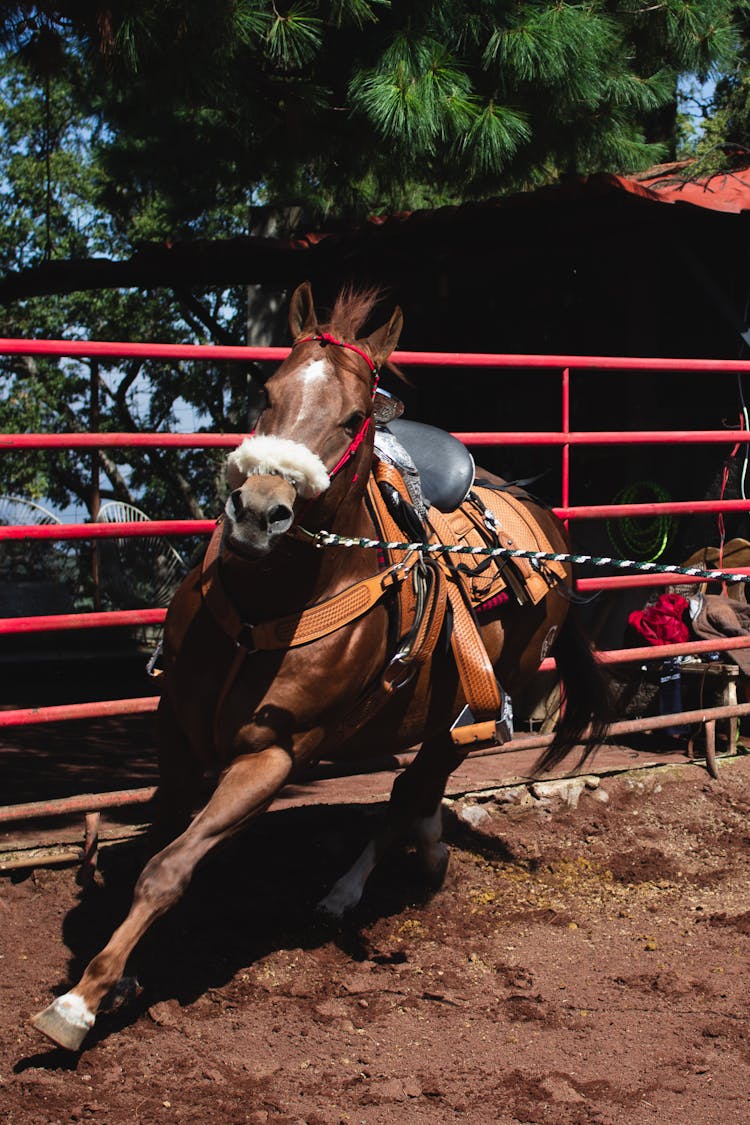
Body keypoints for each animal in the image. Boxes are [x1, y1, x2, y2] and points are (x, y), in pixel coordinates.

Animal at [30, 283, 616, 1053]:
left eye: (353, 417)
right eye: (267, 392)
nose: (259, 511)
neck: (267, 606)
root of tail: (543, 521)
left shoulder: (274, 753)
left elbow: (169, 867)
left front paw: (81, 1001)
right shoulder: (175, 732)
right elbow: (155, 843)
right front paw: (116, 972)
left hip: (480, 702)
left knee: (412, 787)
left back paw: (348, 892)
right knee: (416, 791)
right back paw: (424, 852)